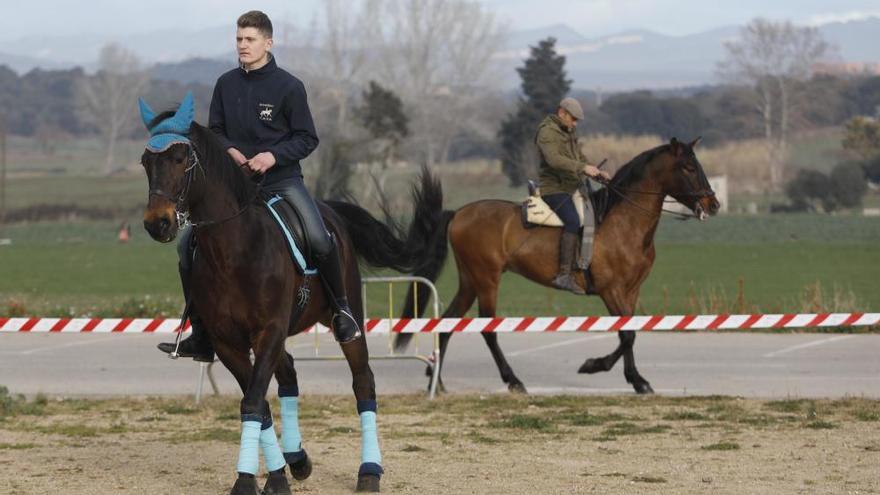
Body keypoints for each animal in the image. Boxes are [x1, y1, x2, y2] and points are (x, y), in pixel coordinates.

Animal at [141, 95, 444, 494]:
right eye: (146, 162)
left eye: (179, 158)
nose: (156, 223)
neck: (233, 249)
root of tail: (331, 211)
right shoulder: (228, 342)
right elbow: (259, 404)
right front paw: (274, 476)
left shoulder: (268, 331)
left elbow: (253, 402)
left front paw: (245, 480)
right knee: (288, 378)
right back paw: (295, 460)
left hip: (343, 318)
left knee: (363, 382)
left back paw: (369, 471)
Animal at [396, 138, 720, 398]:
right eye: (688, 168)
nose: (713, 204)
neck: (623, 221)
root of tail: (460, 213)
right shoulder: (611, 290)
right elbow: (627, 334)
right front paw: (599, 368)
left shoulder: (630, 291)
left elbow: (628, 331)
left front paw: (633, 378)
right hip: (486, 280)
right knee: (488, 329)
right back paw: (513, 381)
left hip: (470, 281)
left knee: (447, 323)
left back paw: (435, 382)